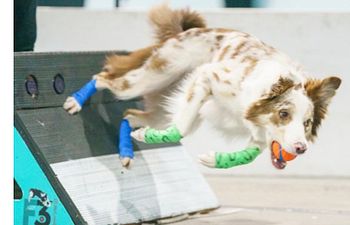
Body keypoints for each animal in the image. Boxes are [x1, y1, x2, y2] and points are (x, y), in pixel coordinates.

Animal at [62, 4, 340, 170]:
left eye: (307, 123)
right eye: (283, 114)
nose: (301, 148)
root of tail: (188, 31)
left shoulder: (258, 134)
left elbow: (250, 154)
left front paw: (216, 159)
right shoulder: (208, 77)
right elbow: (180, 131)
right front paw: (152, 137)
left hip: (164, 108)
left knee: (130, 114)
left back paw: (127, 150)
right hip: (147, 79)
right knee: (103, 78)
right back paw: (76, 101)